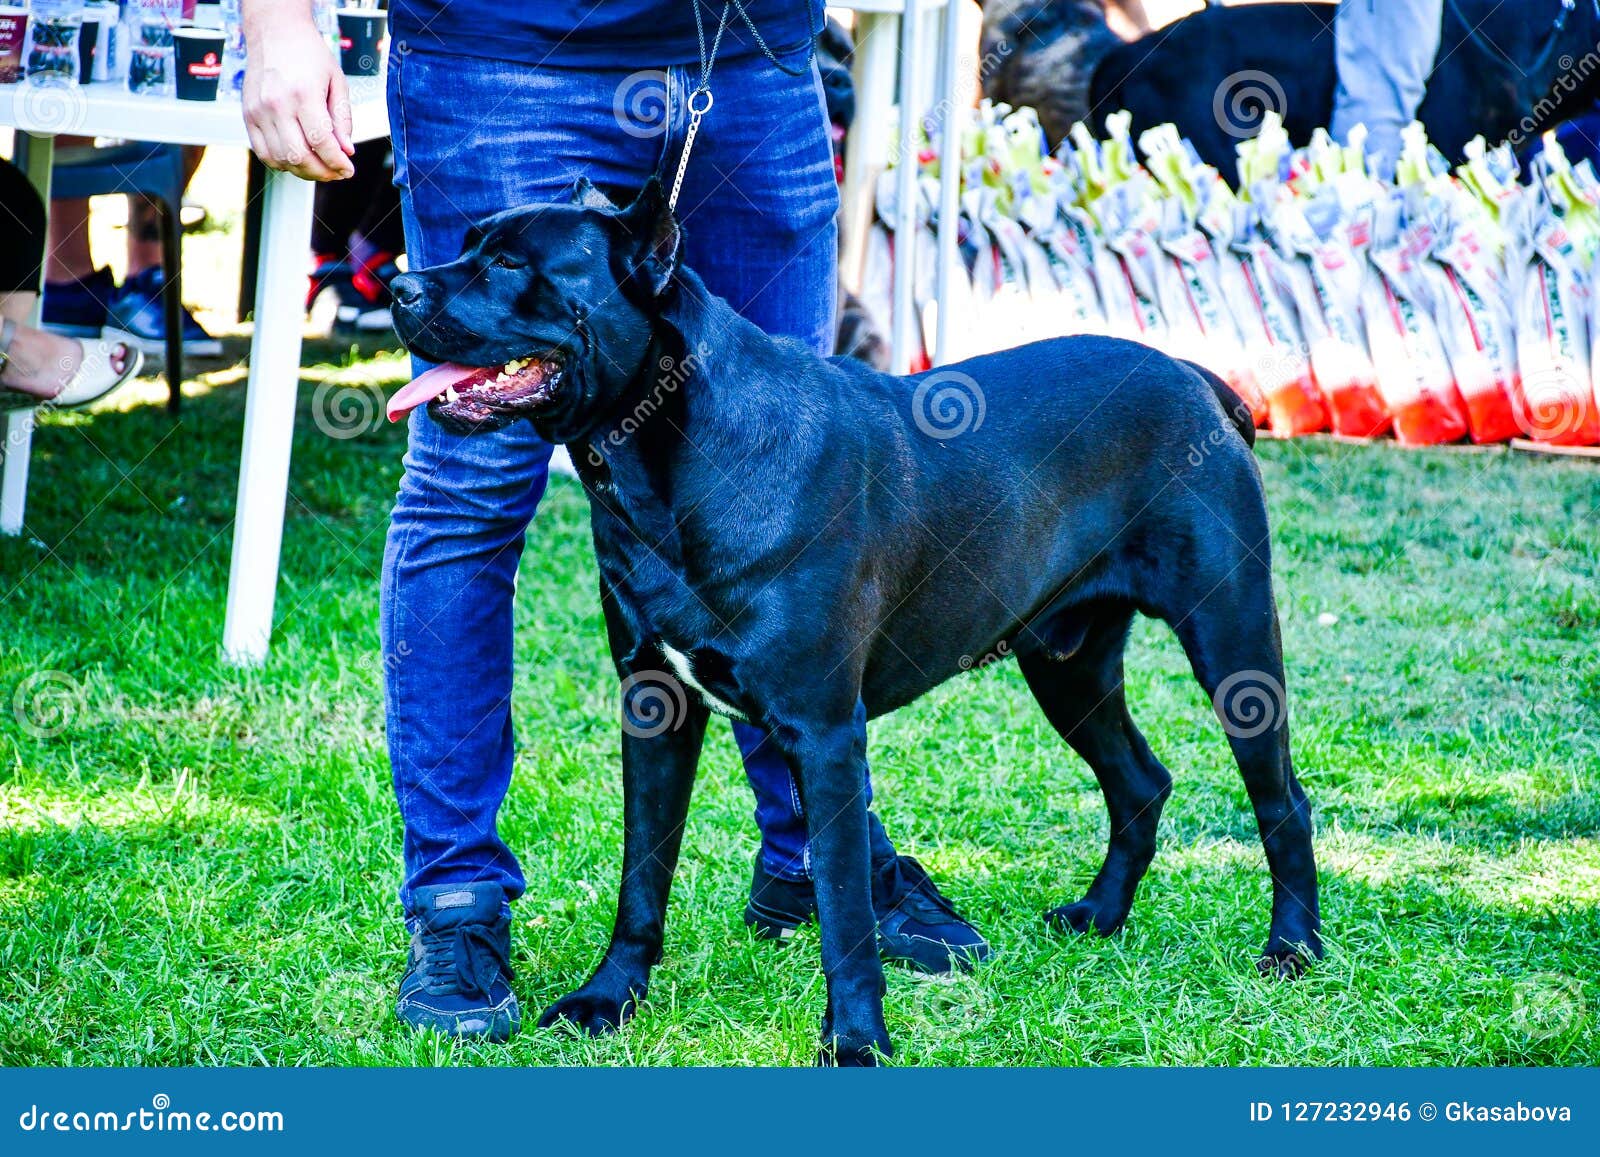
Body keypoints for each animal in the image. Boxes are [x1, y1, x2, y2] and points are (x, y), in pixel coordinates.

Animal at [387, 183, 1324, 1068]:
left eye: (512, 263)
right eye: (467, 243)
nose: (399, 285)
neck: (664, 456)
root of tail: (1194, 375)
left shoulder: (824, 730)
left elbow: (842, 907)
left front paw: (856, 1041)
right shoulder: (655, 707)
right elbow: (641, 874)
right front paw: (609, 998)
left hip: (1232, 638)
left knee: (1282, 798)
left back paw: (1293, 948)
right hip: (1069, 664)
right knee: (1139, 780)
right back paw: (1100, 914)